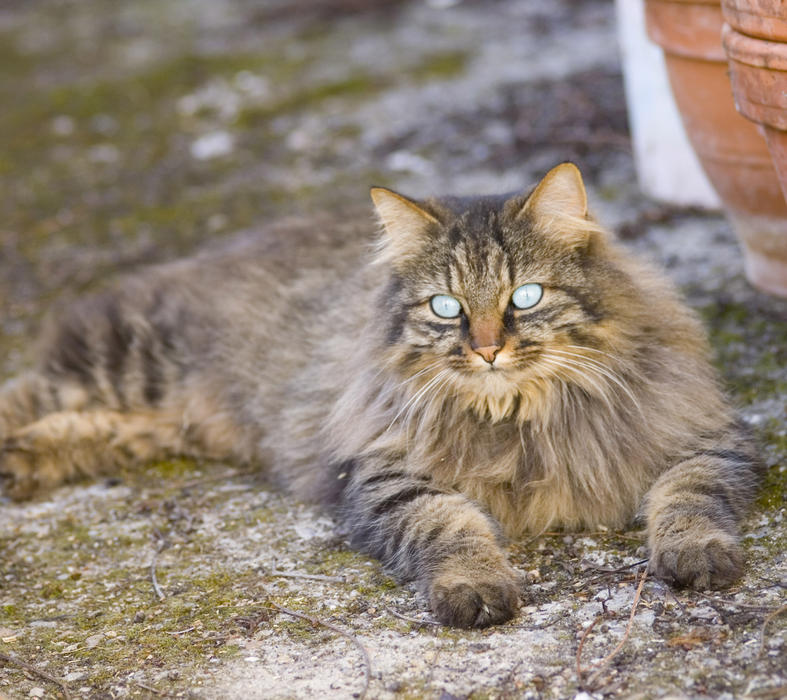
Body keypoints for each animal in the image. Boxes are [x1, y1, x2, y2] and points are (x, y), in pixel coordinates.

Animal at [0, 164, 764, 628]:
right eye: (446, 307)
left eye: (524, 297)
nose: (487, 349)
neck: (520, 416)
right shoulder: (383, 473)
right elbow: (448, 526)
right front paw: (473, 588)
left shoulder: (706, 440)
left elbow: (687, 497)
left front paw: (695, 555)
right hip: (129, 359)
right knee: (28, 392)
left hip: (158, 417)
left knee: (89, 427)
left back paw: (23, 464)